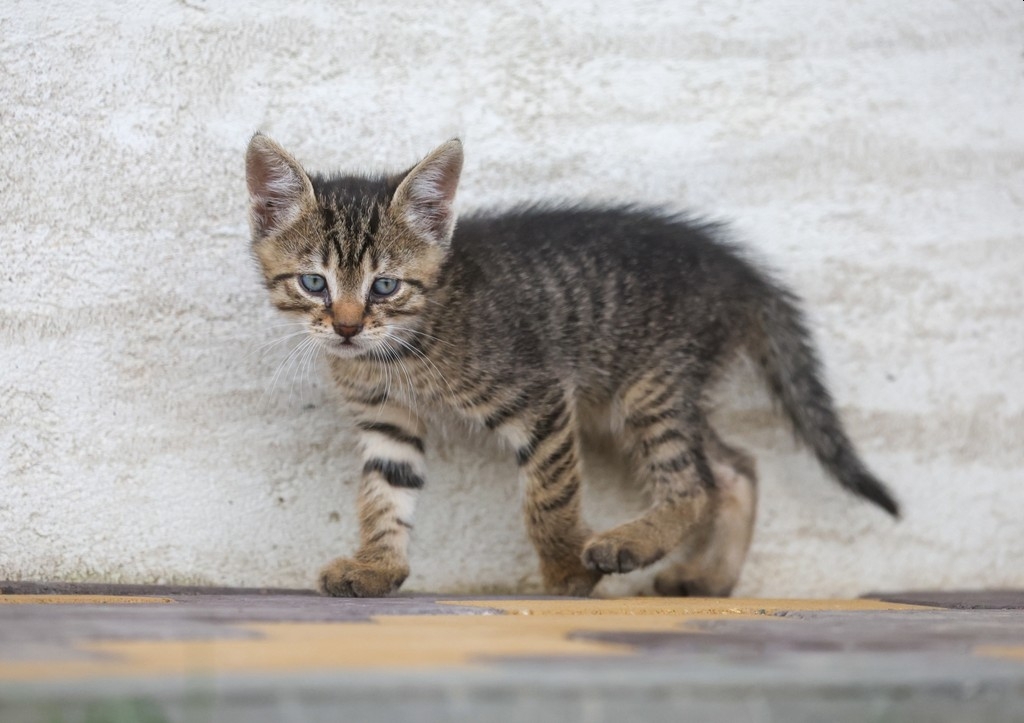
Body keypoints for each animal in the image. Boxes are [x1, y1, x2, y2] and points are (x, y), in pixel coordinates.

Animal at [245, 135, 897, 598]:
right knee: (736, 467)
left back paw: (630, 545)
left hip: (651, 383)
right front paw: (378, 567)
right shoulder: (387, 420)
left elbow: (549, 495)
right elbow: (385, 493)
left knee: (696, 483)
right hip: (644, 391)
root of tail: (738, 269)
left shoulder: (540, 397)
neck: (401, 346)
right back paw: (708, 577)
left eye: (384, 286)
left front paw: (565, 572)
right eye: (314, 283)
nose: (347, 327)